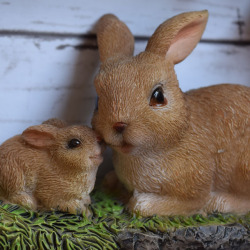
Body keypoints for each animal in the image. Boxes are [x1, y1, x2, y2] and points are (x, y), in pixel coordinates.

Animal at [92, 10, 250, 216]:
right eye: (98, 100)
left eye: (158, 96)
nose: (119, 125)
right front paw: (111, 183)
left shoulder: (196, 188)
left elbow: (186, 203)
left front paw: (143, 202)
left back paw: (220, 202)